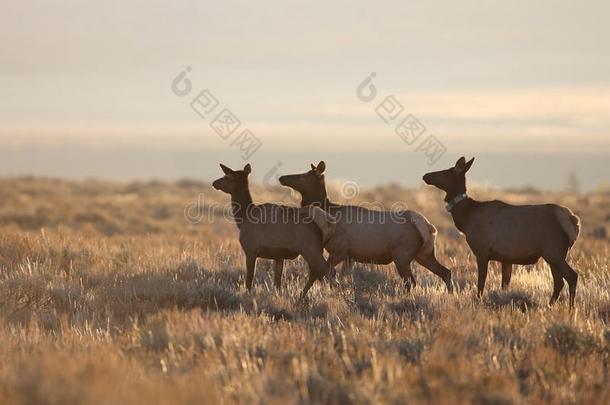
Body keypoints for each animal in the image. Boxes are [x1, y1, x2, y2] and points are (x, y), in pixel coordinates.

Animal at [213, 163, 338, 298]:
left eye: (227, 177)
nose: (214, 183)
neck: (243, 218)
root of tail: (329, 223)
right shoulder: (278, 255)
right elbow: (277, 282)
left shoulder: (250, 249)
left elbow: (249, 278)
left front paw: (248, 294)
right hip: (315, 249)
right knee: (316, 272)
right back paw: (301, 296)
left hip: (310, 247)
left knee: (329, 271)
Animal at [278, 160, 454, 290]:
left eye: (304, 176)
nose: (282, 178)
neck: (329, 210)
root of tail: (428, 227)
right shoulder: (349, 256)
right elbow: (340, 277)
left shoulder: (339, 249)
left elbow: (320, 274)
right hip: (425, 253)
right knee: (446, 272)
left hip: (402, 254)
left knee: (411, 282)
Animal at [420, 156, 576, 304]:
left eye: (446, 171)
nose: (426, 175)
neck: (466, 219)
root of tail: (574, 222)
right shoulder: (506, 258)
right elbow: (504, 285)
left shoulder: (482, 251)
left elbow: (481, 283)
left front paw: (479, 301)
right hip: (554, 255)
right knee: (559, 282)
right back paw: (551, 305)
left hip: (554, 252)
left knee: (571, 277)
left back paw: (570, 308)